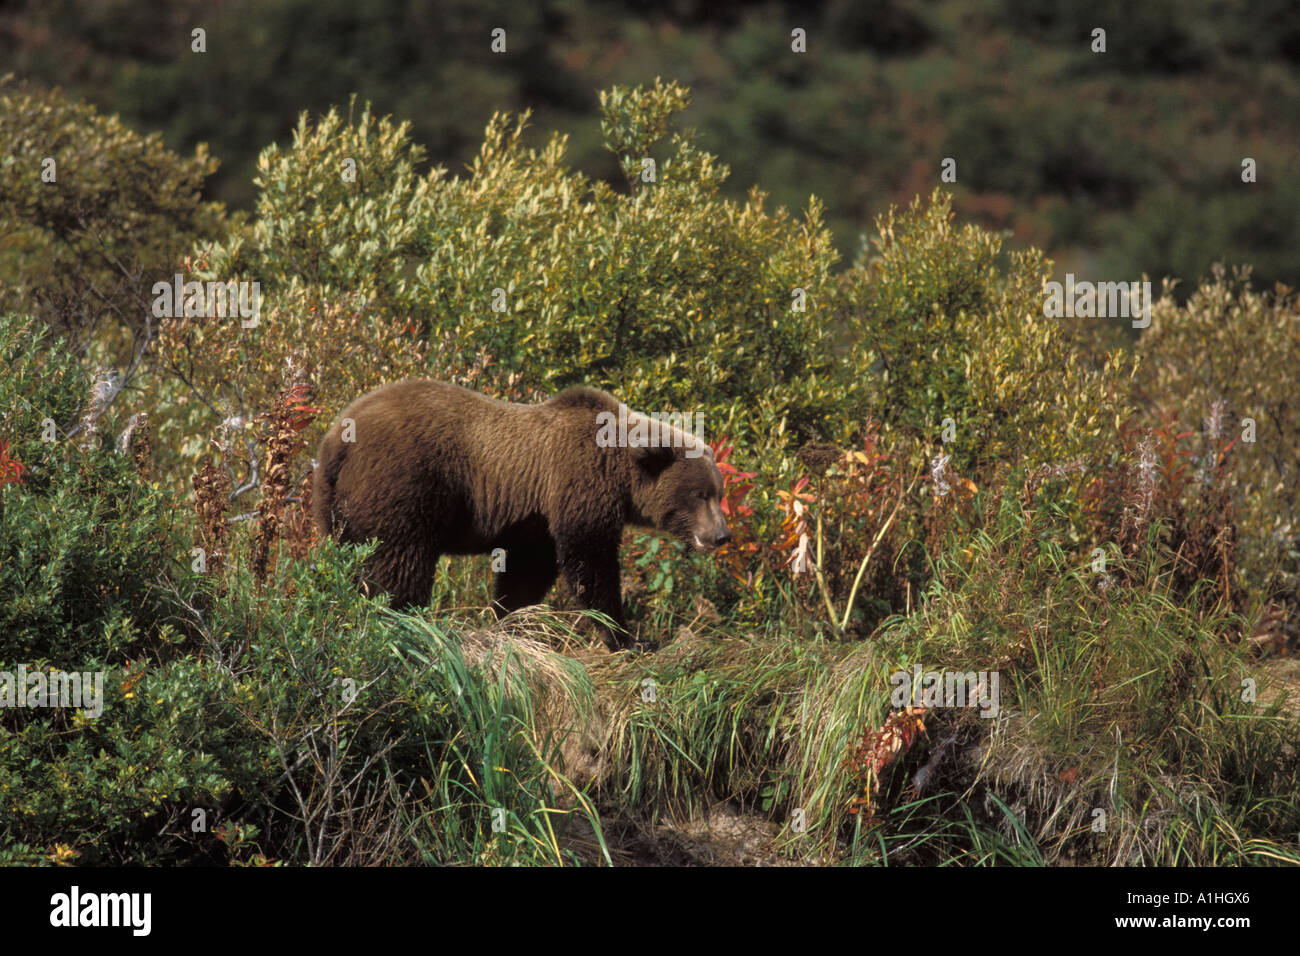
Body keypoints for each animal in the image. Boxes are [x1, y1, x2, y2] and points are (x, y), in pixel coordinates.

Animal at [312, 379, 731, 650]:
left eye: (719, 493)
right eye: (700, 495)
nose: (722, 535)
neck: (621, 469)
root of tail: (336, 440)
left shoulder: (536, 520)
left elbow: (526, 572)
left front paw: (512, 619)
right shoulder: (578, 483)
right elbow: (591, 562)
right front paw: (628, 638)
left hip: (336, 508)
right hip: (403, 484)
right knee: (400, 562)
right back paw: (404, 620)